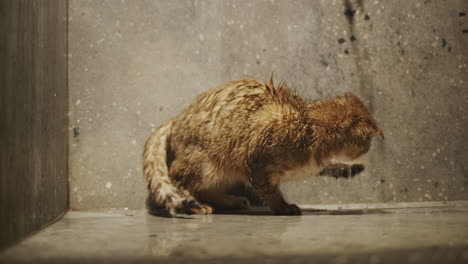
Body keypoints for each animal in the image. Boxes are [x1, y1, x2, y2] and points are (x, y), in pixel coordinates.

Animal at [144, 76, 384, 214]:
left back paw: (232, 201)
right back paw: (197, 206)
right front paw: (285, 208)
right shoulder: (257, 159)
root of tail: (175, 119)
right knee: (177, 178)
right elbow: (268, 191)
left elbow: (328, 168)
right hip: (203, 164)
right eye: (367, 142)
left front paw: (351, 168)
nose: (369, 149)